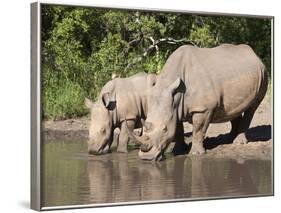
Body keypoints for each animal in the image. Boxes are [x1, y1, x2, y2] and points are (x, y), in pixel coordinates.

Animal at [127, 44, 266, 161]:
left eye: (164, 129)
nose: (146, 157)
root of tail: (255, 55)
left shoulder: (203, 108)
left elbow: (199, 129)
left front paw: (196, 153)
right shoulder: (175, 108)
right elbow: (178, 129)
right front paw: (178, 151)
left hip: (263, 73)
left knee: (252, 108)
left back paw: (238, 142)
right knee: (234, 108)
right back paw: (229, 139)